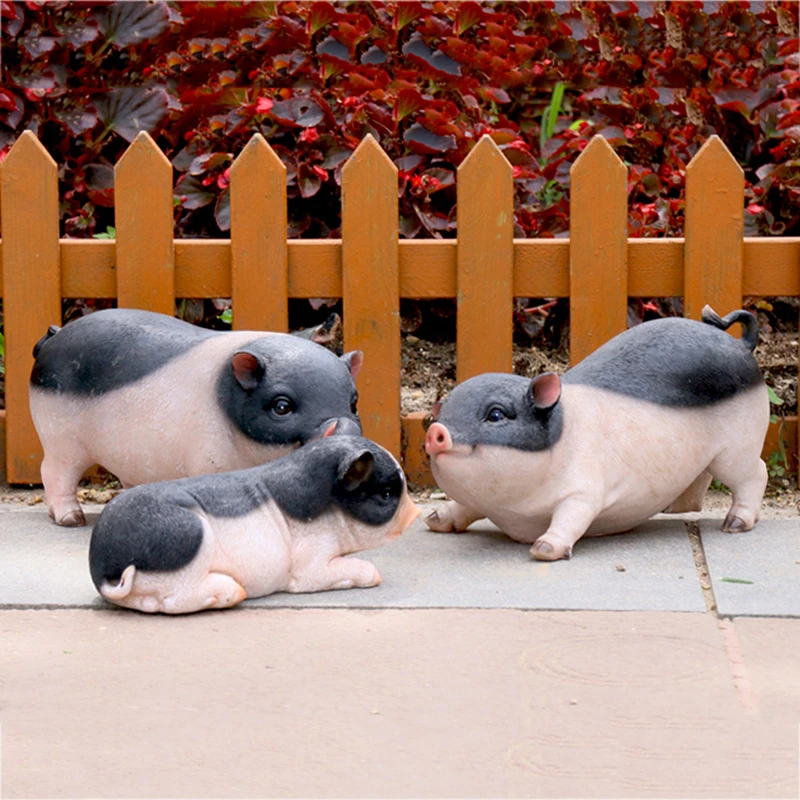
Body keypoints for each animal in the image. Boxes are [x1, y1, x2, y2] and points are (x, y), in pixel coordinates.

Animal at [30, 309, 363, 527]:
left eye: (353, 403)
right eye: (282, 407)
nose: (345, 428)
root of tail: (53, 338)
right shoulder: (207, 462)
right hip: (59, 438)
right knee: (53, 472)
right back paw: (72, 519)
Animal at [89, 436, 421, 614]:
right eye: (386, 494)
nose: (416, 513)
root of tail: (104, 567)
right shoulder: (309, 566)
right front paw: (374, 573)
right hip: (192, 539)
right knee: (175, 600)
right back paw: (234, 593)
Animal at [425, 306, 769, 561]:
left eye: (496, 414)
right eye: (444, 413)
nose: (436, 431)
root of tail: (741, 344)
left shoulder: (585, 490)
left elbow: (573, 516)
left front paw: (543, 550)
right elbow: (464, 506)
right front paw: (433, 520)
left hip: (738, 446)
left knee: (756, 472)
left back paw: (733, 525)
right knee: (702, 477)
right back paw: (673, 509)